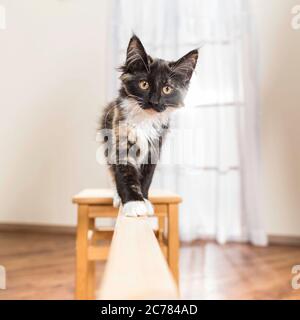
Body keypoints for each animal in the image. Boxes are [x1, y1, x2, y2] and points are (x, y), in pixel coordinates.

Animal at [101, 35, 198, 216]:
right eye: (144, 84)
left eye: (167, 89)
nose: (154, 101)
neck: (145, 120)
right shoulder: (121, 139)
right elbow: (126, 174)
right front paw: (133, 203)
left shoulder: (155, 145)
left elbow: (146, 177)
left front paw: (144, 200)